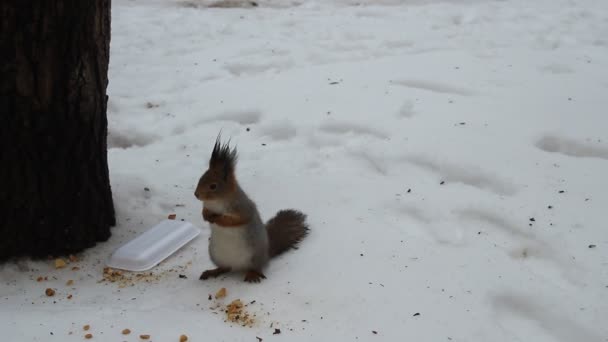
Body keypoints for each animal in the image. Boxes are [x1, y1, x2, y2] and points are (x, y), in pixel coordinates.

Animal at [195, 136, 308, 284]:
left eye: (213, 186)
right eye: (200, 178)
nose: (196, 195)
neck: (216, 203)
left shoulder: (242, 207)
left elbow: (236, 220)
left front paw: (218, 219)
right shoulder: (208, 206)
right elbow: (205, 211)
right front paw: (205, 216)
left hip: (254, 256)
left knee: (256, 267)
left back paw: (252, 274)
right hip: (215, 254)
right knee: (225, 268)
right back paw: (212, 271)